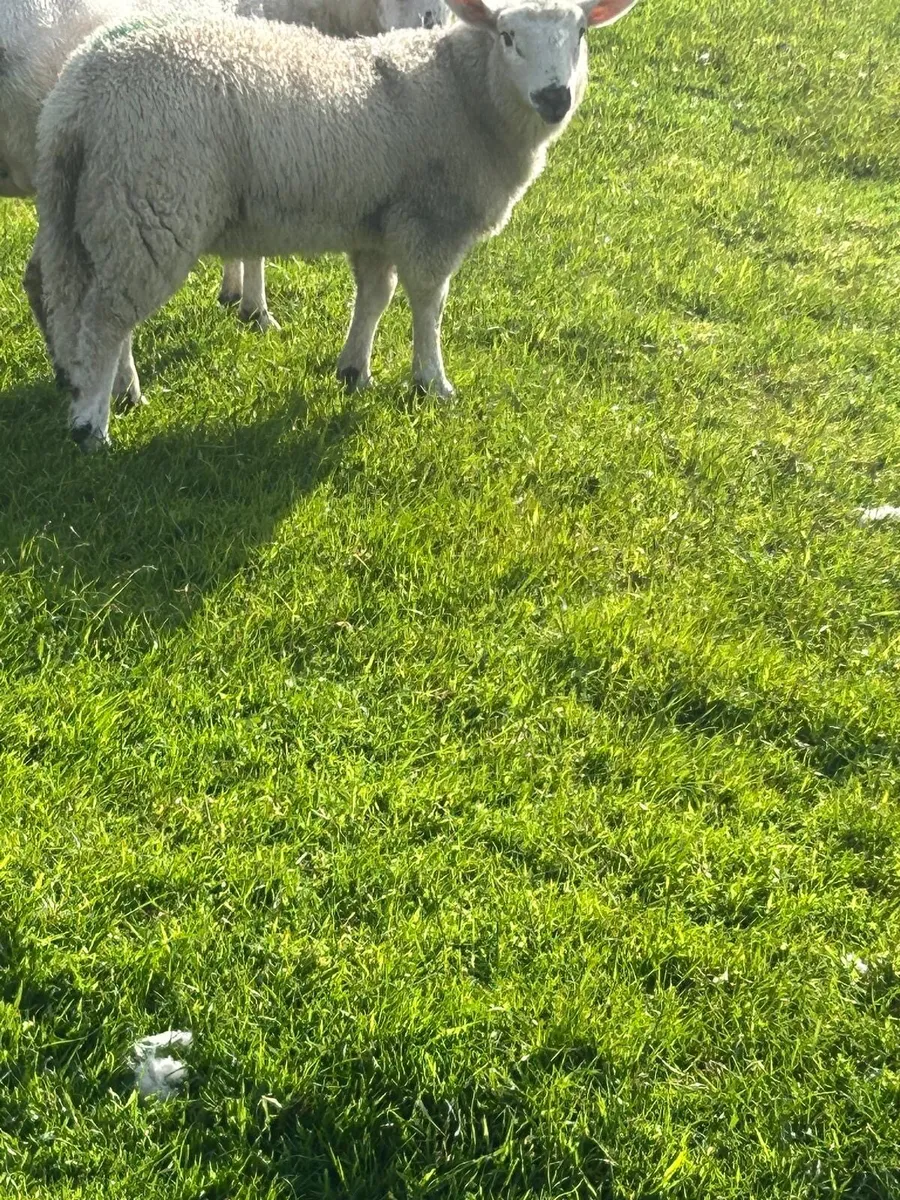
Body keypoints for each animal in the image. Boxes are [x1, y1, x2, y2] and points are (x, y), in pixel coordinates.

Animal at [34, 0, 638, 450]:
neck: (464, 95)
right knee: (107, 317)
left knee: (93, 307)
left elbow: (374, 296)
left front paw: (354, 371)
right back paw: (92, 426)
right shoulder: (429, 221)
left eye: (581, 32)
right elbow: (428, 303)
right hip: (152, 201)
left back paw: (118, 392)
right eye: (509, 36)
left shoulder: (378, 218)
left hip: (99, 211)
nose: (555, 96)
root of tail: (78, 92)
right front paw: (432, 383)